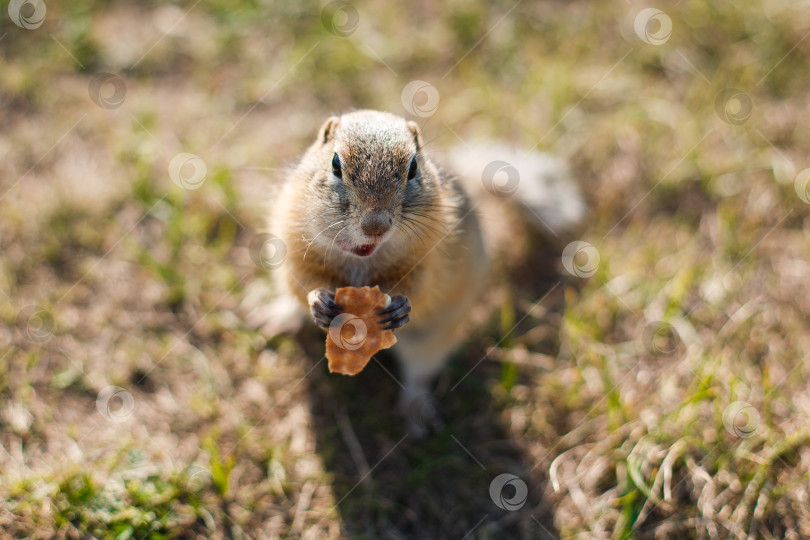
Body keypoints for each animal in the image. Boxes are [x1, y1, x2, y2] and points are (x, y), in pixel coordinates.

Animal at [266, 110, 580, 438]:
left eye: (413, 167)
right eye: (336, 164)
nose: (376, 226)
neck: (363, 258)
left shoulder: (430, 262)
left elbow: (420, 288)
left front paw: (401, 306)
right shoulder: (294, 247)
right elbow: (303, 281)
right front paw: (317, 301)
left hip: (431, 340)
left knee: (418, 376)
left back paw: (416, 416)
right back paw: (280, 317)